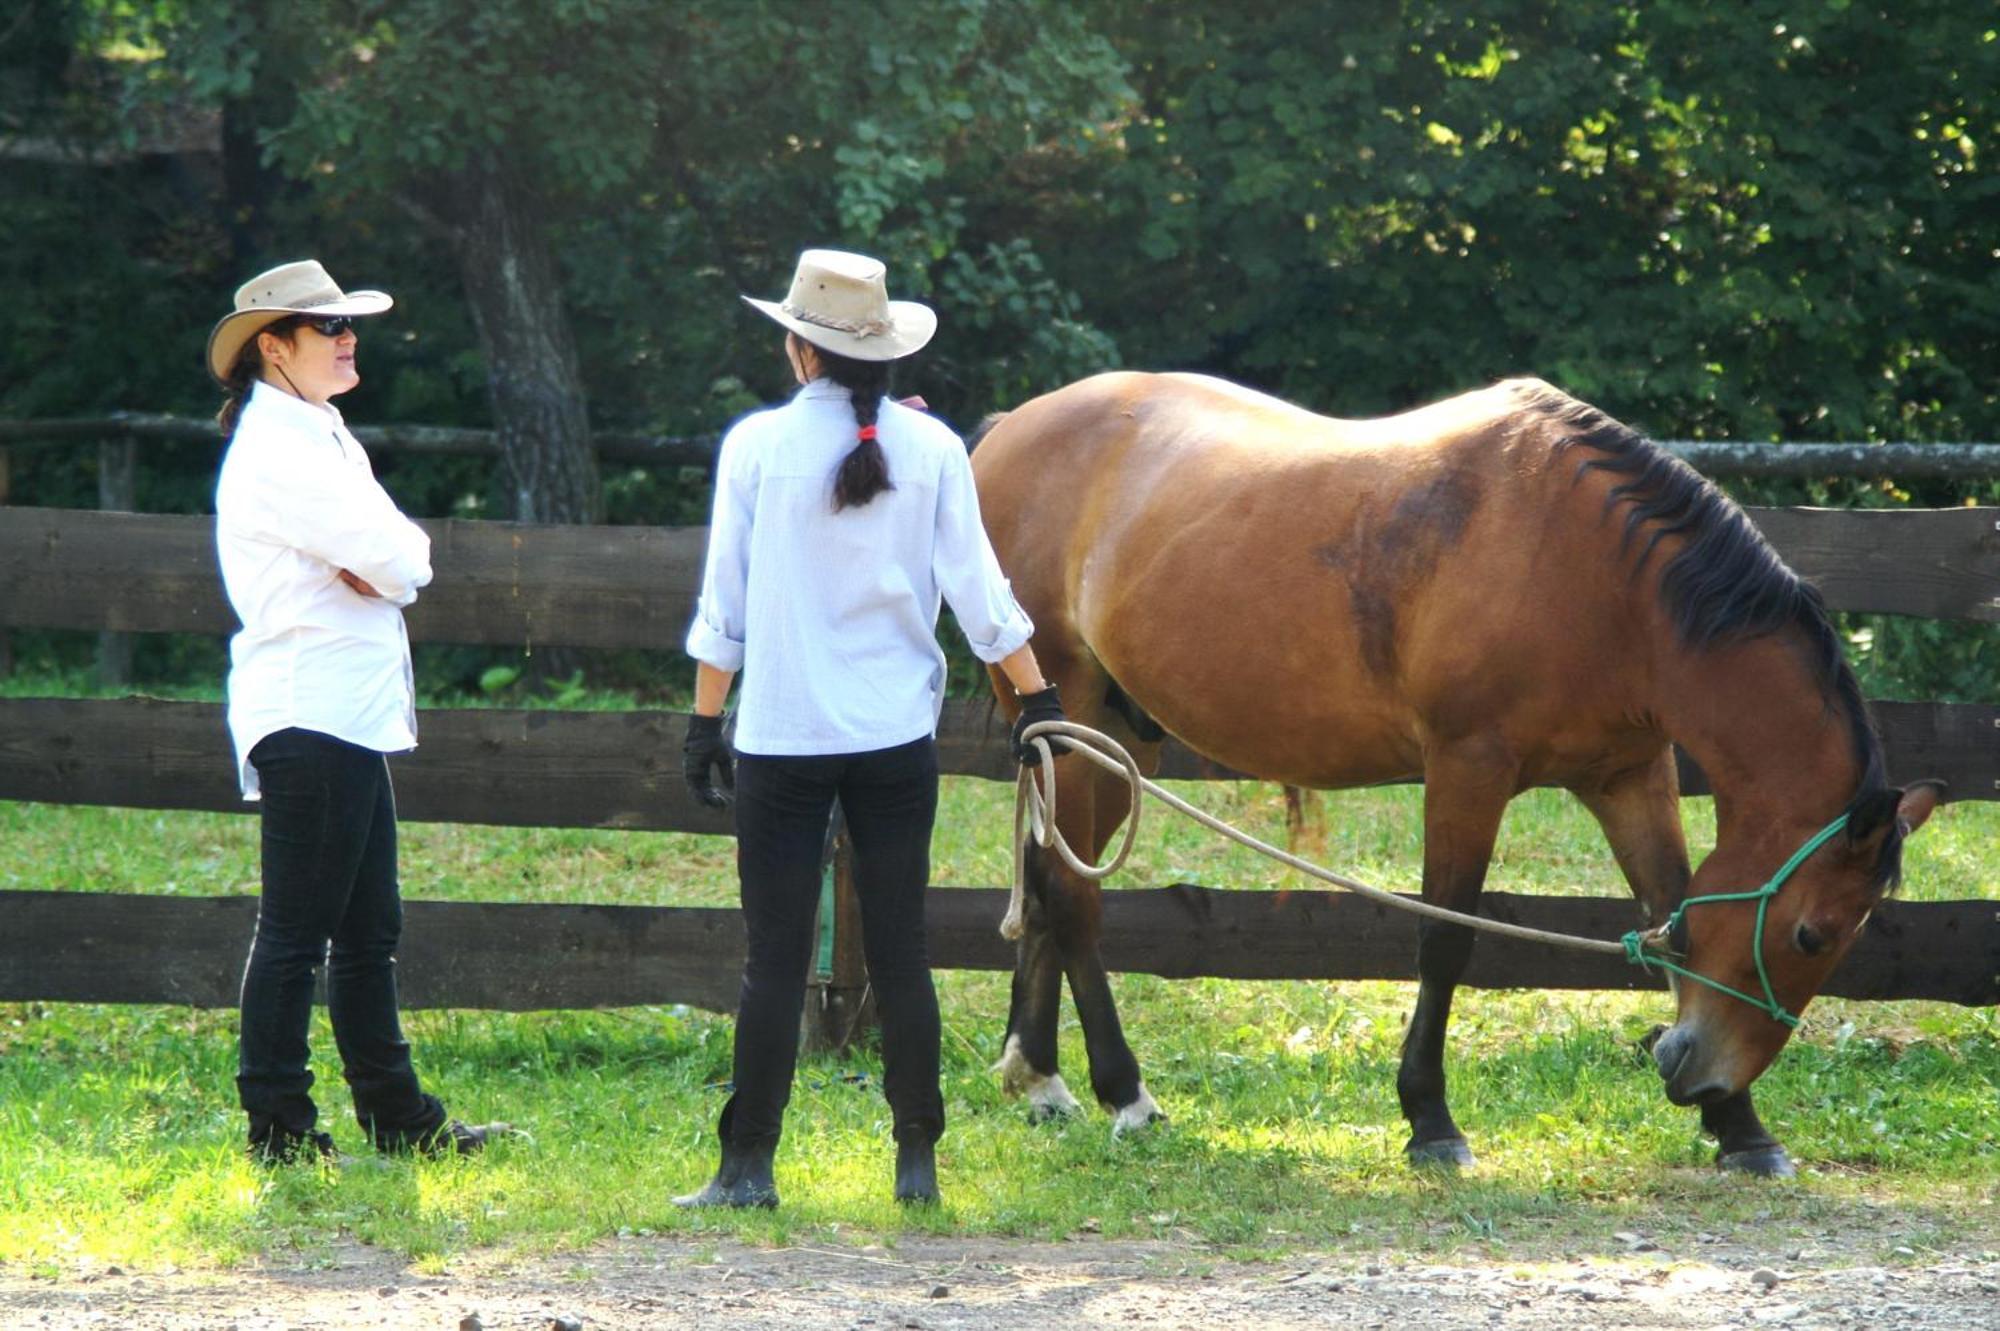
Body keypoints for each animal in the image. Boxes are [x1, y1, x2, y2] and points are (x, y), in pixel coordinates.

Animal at [976, 367, 1944, 1167]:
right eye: (1812, 933)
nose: (1699, 1073)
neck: (1602, 582)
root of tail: (1005, 429)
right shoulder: (1468, 768)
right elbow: (1446, 938)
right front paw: (1429, 1119)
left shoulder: (1630, 776)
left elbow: (1672, 917)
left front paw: (1742, 1131)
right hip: (1074, 714)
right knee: (1073, 898)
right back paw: (1124, 1093)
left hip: (1115, 737)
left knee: (1053, 881)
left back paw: (1040, 1076)